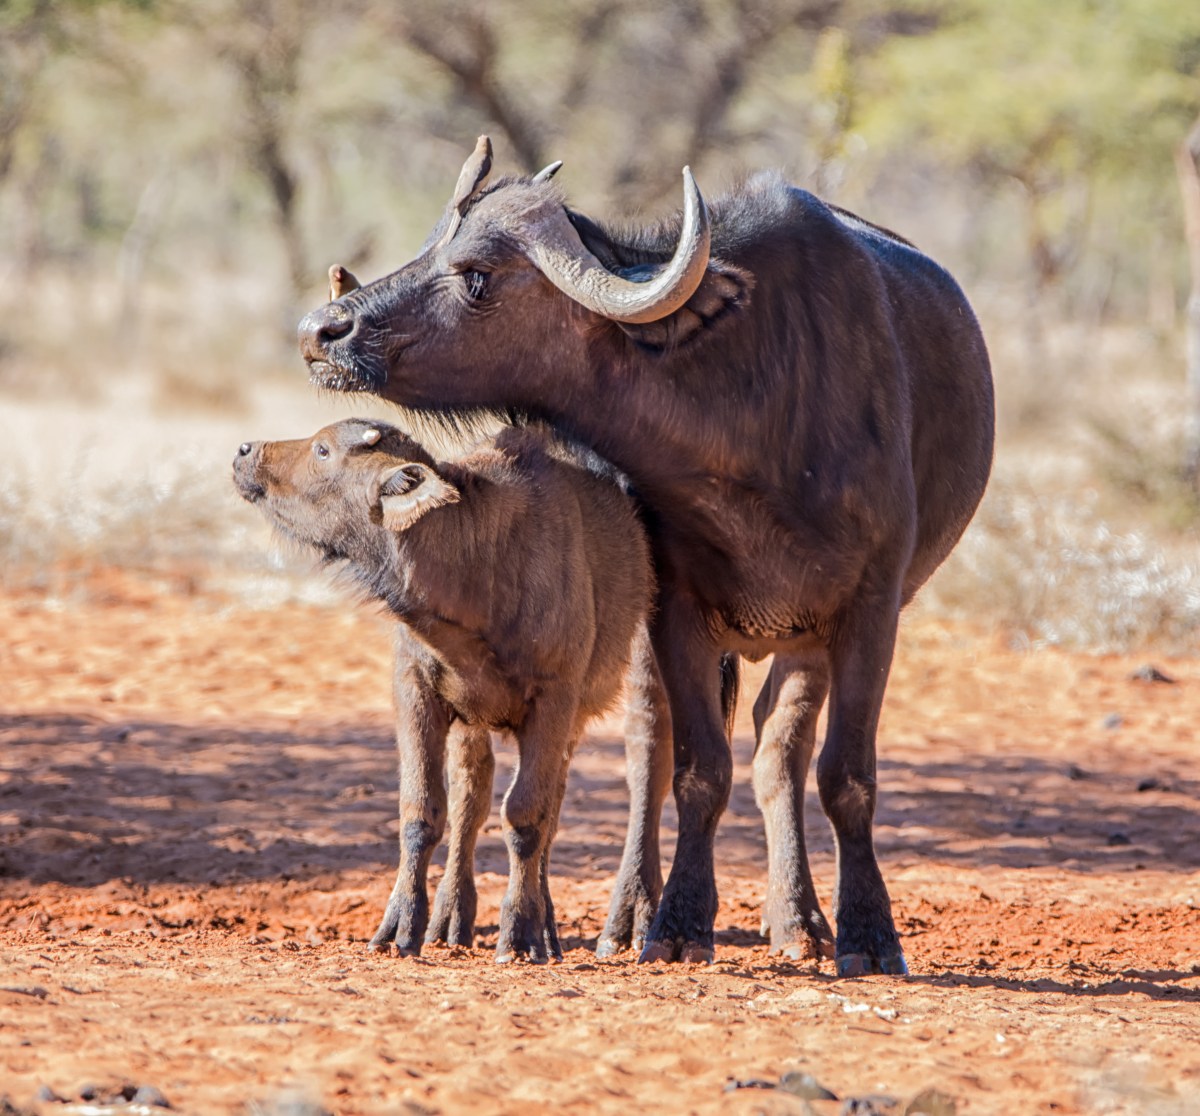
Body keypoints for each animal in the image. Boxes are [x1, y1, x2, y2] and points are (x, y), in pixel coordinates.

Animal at [297, 137, 995, 975]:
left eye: (476, 275)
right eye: (433, 242)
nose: (320, 330)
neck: (750, 419)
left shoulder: (872, 606)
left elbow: (845, 775)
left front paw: (869, 933)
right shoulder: (675, 611)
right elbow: (695, 770)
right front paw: (678, 922)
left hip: (810, 640)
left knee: (781, 751)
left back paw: (798, 920)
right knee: (651, 754)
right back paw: (634, 912)